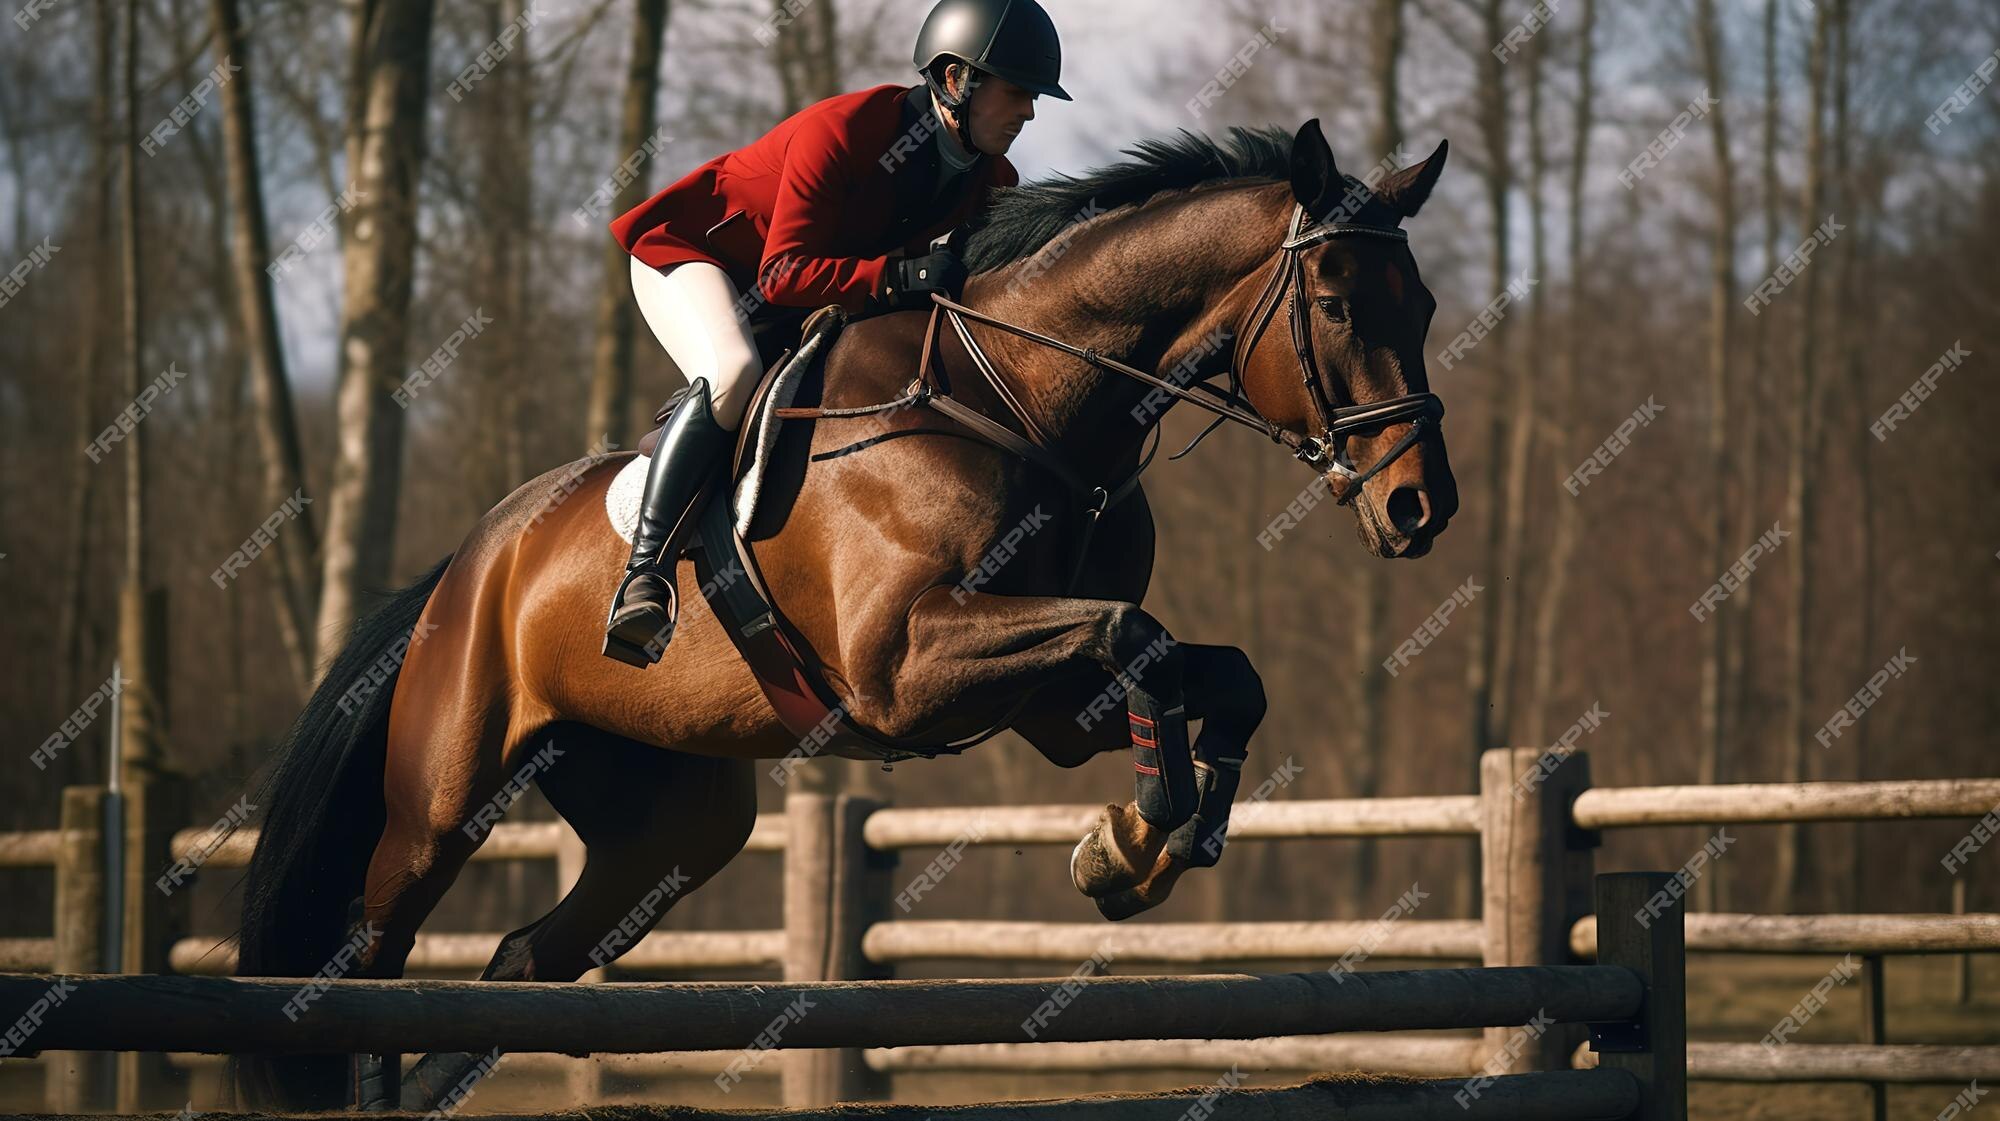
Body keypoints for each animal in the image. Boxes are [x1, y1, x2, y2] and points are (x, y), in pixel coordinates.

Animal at [230, 120, 1456, 1104]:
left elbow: (1211, 669)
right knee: (373, 958)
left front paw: (1146, 841)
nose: (1420, 505)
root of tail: (466, 563)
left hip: (671, 824)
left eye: (1429, 305)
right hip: (441, 799)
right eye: (1336, 305)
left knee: (526, 959)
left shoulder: (1048, 703)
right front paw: (1139, 834)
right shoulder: (904, 667)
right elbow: (1137, 635)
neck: (1018, 395)